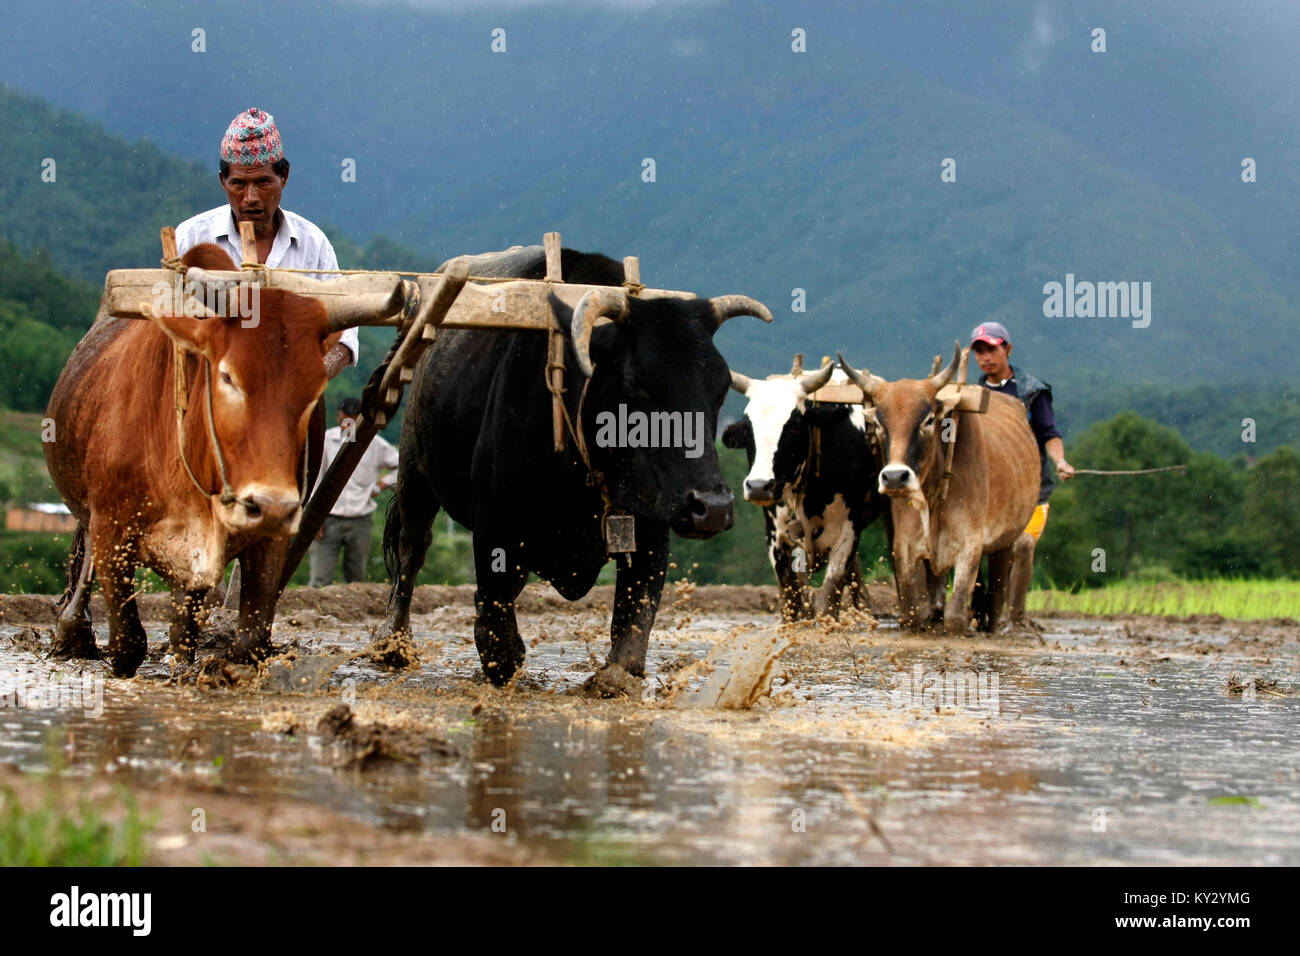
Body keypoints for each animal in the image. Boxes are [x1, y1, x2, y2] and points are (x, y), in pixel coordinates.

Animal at [717, 358, 889, 621]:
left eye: (794, 426)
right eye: (747, 429)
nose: (759, 487)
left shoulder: (848, 532)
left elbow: (829, 596)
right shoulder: (776, 536)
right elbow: (793, 600)